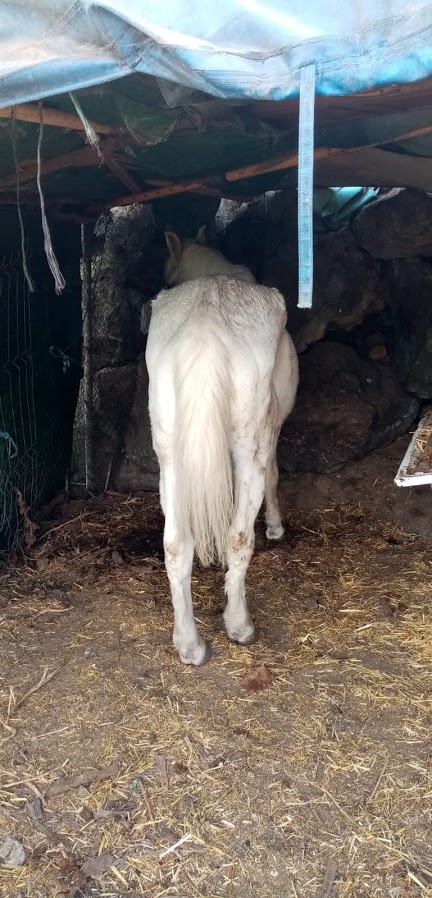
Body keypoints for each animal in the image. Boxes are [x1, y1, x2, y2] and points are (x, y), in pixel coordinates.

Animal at [145, 228, 299, 665]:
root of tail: (204, 325)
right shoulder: (270, 431)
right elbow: (274, 476)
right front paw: (276, 527)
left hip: (171, 460)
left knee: (176, 545)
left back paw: (189, 644)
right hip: (248, 448)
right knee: (237, 537)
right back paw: (239, 625)